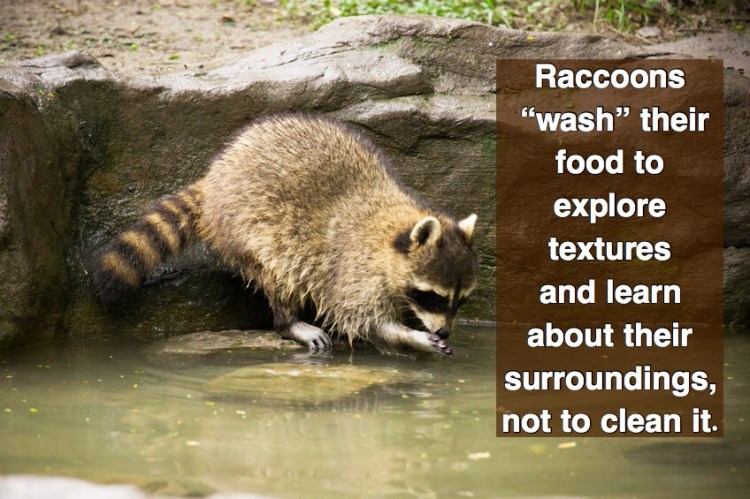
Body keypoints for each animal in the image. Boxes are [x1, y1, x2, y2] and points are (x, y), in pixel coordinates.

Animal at [94, 115, 478, 355]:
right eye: (435, 297)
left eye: (460, 300)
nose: (444, 331)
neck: (392, 229)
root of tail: (219, 173)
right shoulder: (353, 269)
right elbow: (359, 320)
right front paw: (411, 337)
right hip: (249, 227)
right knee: (279, 273)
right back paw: (288, 321)